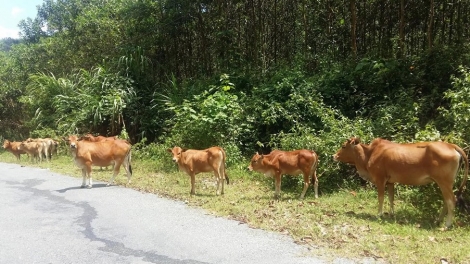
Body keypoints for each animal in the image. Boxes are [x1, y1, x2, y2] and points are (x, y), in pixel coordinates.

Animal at [332, 137, 468, 228]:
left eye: (343, 146)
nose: (334, 156)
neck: (369, 154)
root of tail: (451, 146)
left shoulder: (380, 180)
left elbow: (381, 198)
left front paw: (379, 214)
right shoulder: (390, 182)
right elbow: (391, 198)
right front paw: (391, 214)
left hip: (444, 182)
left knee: (451, 200)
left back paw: (447, 224)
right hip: (445, 184)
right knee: (446, 200)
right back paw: (438, 221)